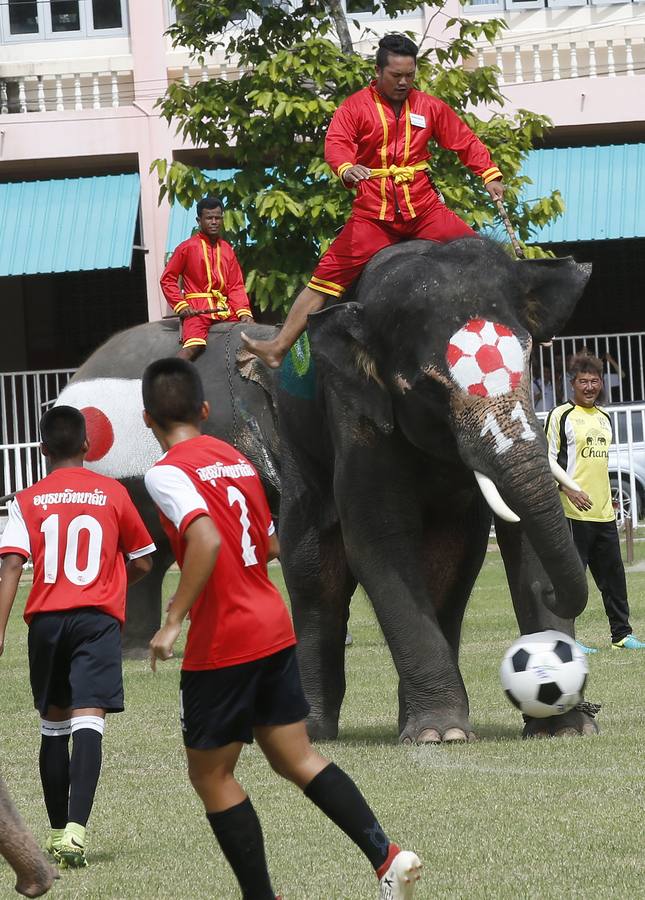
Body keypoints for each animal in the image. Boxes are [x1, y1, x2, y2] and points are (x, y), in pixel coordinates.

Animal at [276, 236, 595, 743]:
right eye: (428, 387)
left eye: (529, 360)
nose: (551, 596)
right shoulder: (358, 421)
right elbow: (377, 542)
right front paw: (439, 736)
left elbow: (525, 535)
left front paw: (567, 728)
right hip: (298, 453)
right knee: (313, 576)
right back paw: (314, 731)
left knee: (450, 569)